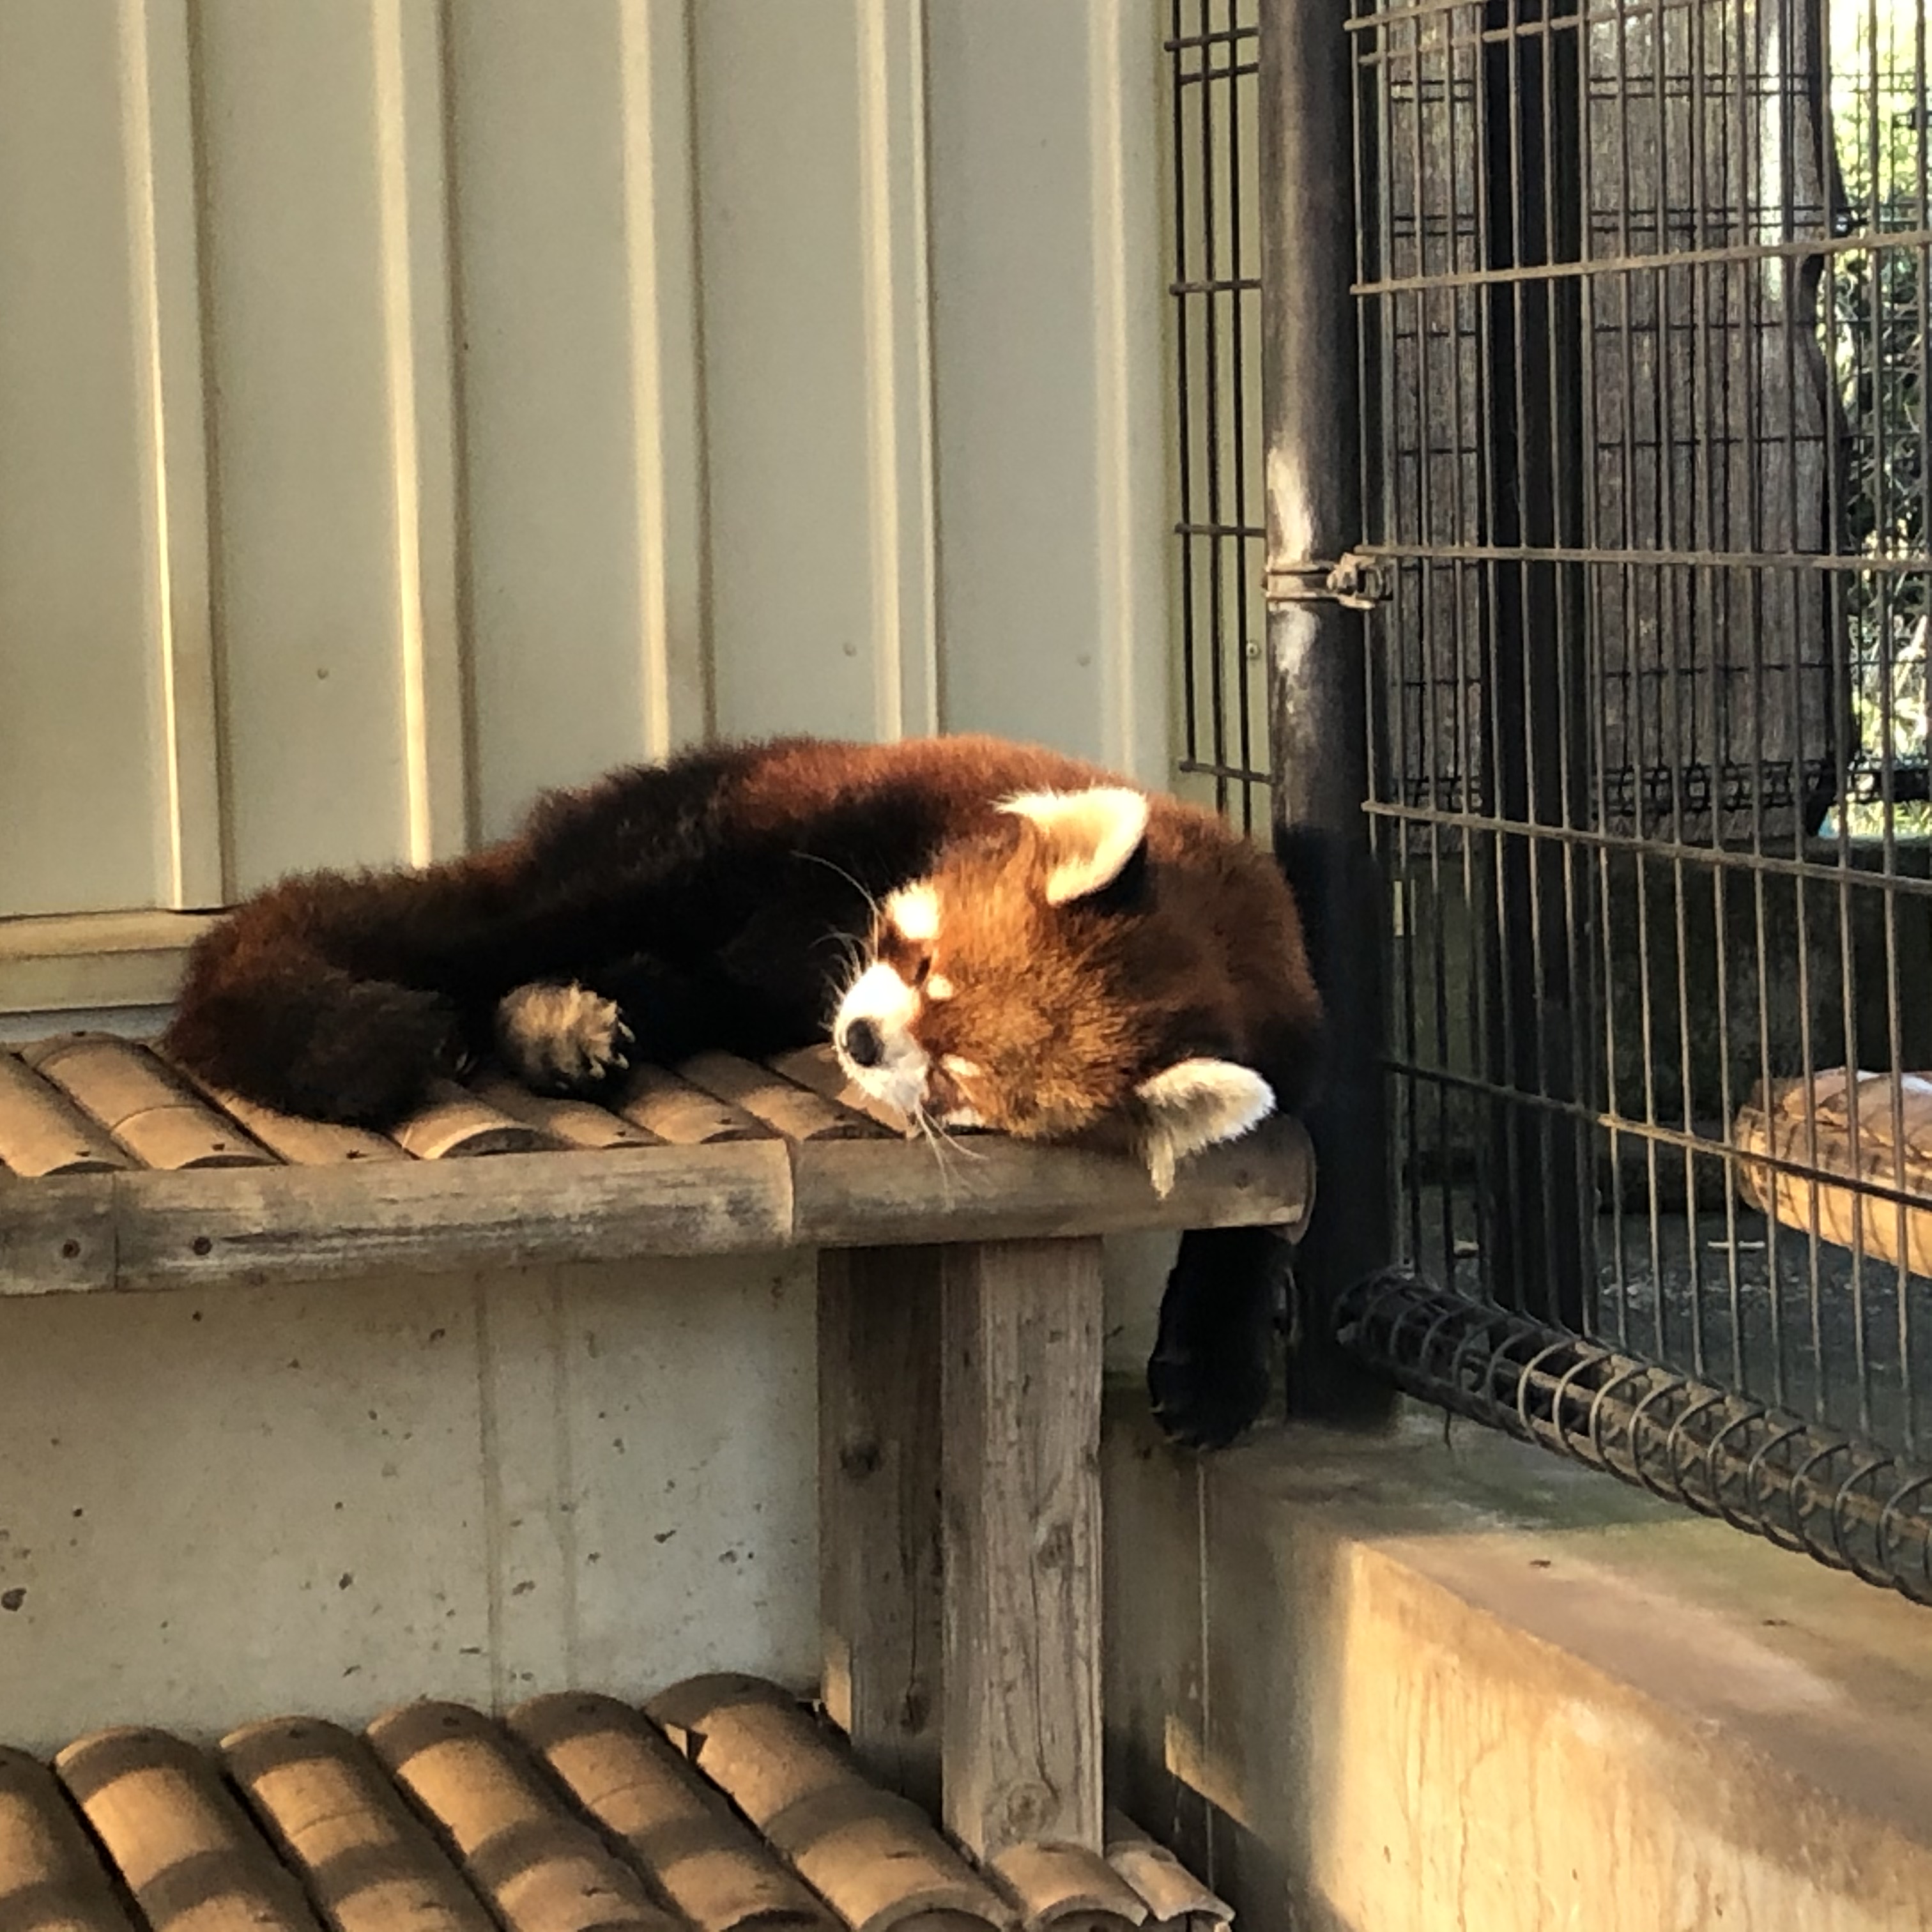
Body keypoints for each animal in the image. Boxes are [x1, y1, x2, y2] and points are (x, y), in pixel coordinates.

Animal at [170, 730, 1329, 1445]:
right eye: (920, 962)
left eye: (958, 1075)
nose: (859, 1037)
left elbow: (1274, 1189)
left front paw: (1215, 1363)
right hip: (711, 828)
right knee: (519, 926)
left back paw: (562, 1027)